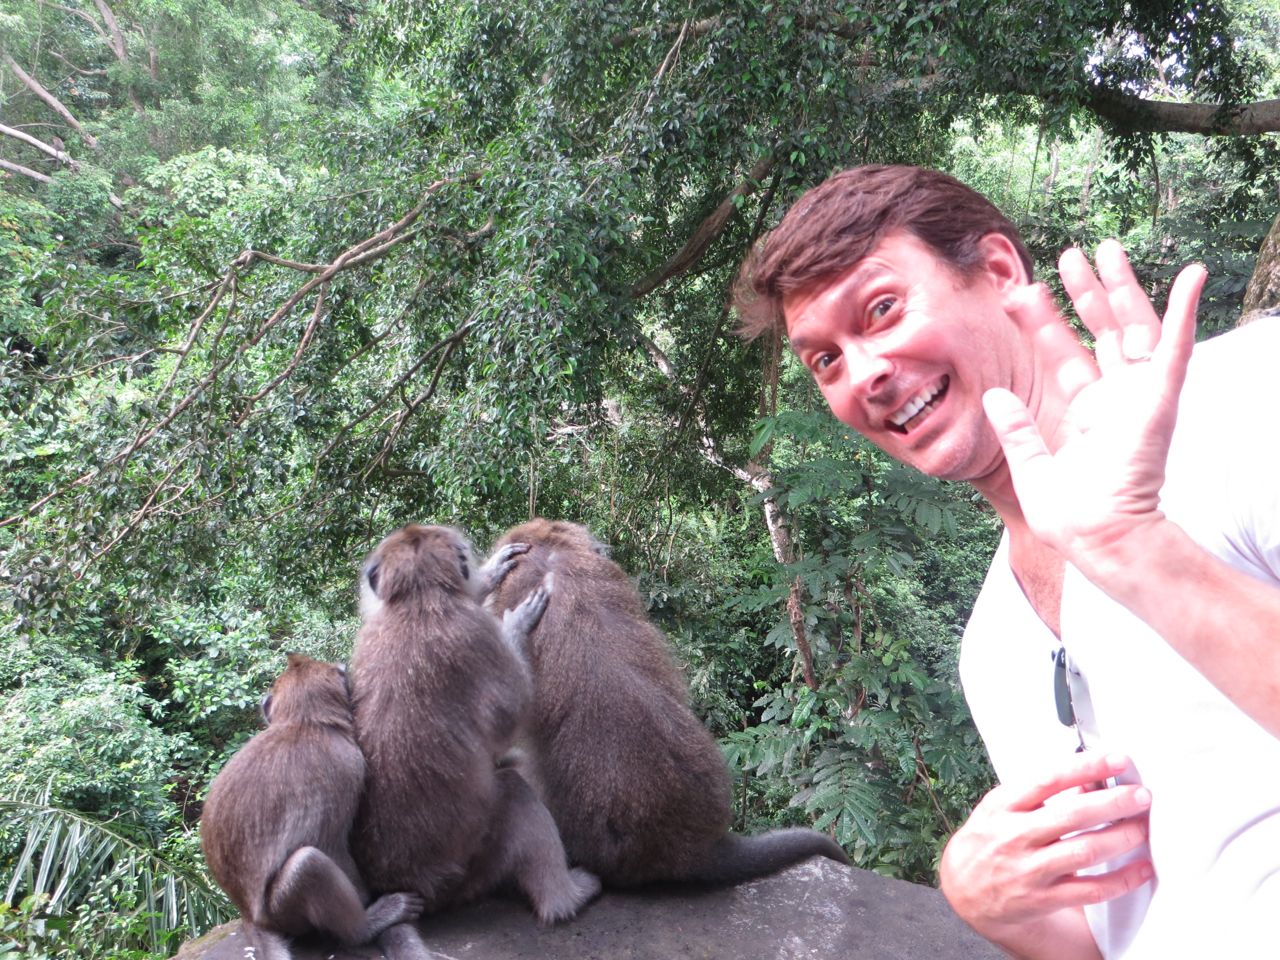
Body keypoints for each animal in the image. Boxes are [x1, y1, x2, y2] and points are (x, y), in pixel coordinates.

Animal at [200, 653, 434, 960]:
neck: (306, 721)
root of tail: (249, 914)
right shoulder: (348, 765)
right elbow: (329, 843)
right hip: (283, 913)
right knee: (307, 864)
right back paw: (365, 925)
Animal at [349, 523, 601, 925]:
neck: (417, 599)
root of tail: (419, 888)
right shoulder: (476, 633)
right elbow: (508, 716)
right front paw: (516, 624)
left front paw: (491, 573)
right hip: (472, 866)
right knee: (514, 791)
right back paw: (565, 897)